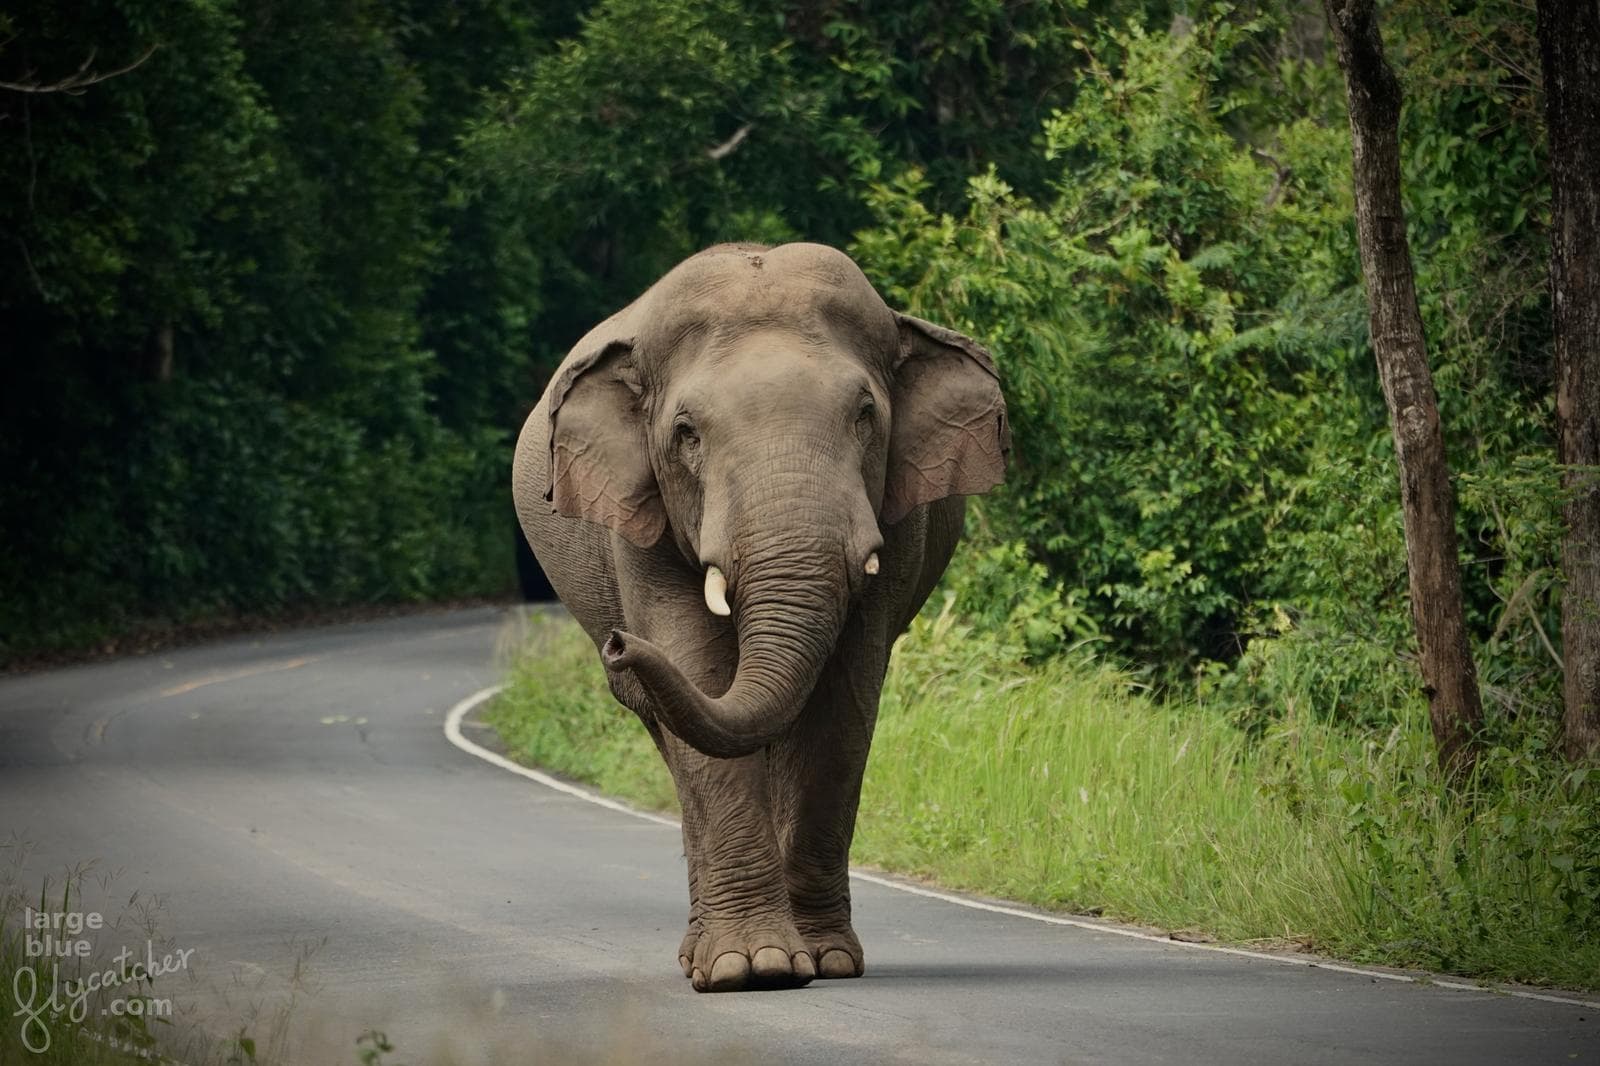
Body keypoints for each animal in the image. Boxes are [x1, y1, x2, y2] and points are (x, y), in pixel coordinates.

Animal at [511, 241, 1008, 992]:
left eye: (865, 415)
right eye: (685, 433)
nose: (618, 646)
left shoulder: (901, 521)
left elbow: (844, 699)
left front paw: (824, 961)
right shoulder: (636, 517)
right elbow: (695, 666)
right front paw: (753, 969)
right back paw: (701, 954)